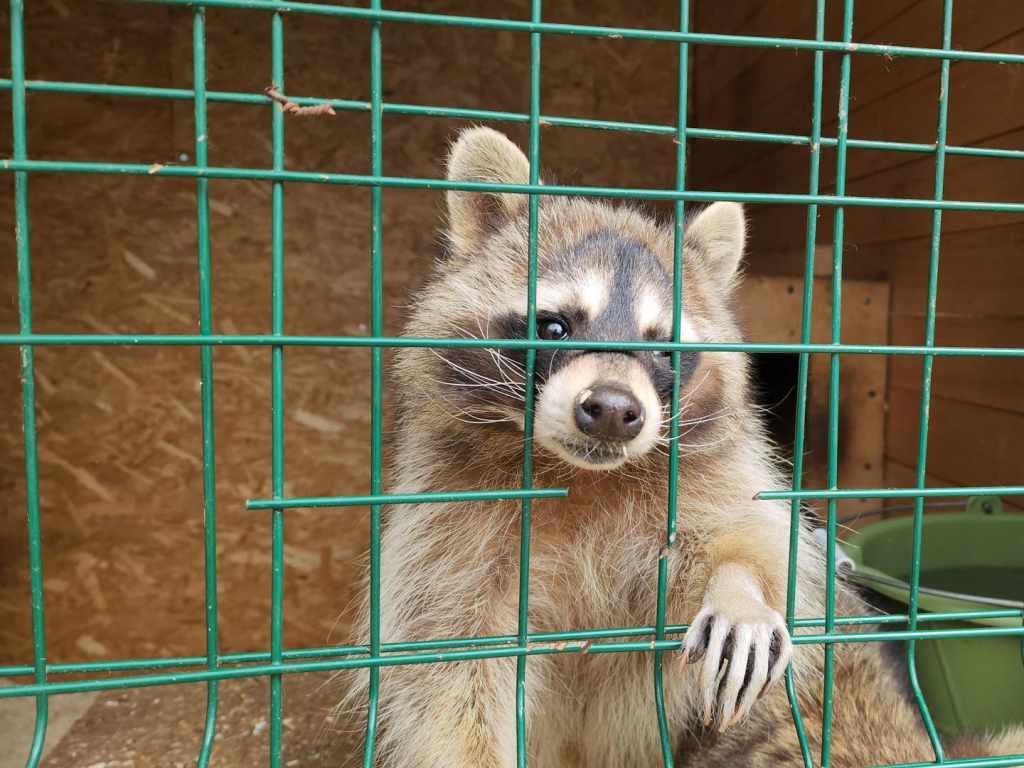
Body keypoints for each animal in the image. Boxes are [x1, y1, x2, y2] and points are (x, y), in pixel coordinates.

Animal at [342, 128, 1024, 768]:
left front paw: (739, 589)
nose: (613, 412)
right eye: (555, 326)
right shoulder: (444, 519)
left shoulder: (716, 470)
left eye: (662, 347)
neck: (582, 473)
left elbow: (761, 545)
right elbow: (448, 665)